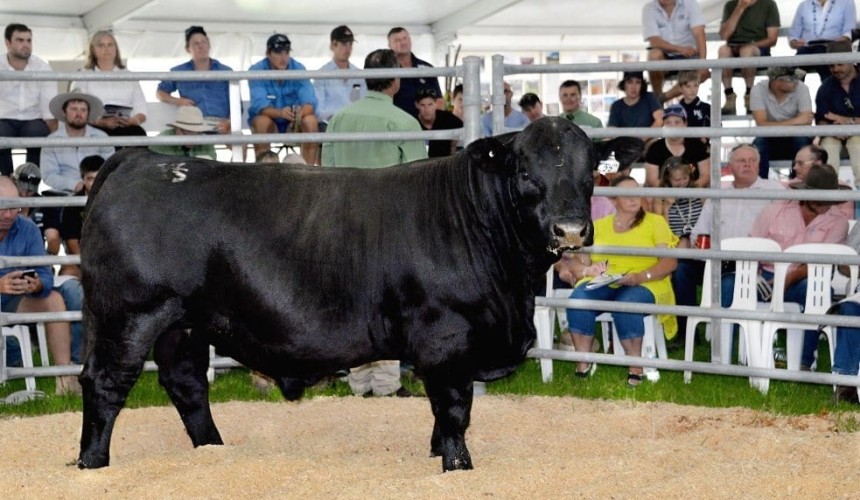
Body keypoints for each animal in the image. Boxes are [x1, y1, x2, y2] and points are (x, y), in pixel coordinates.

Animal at [76, 117, 635, 471]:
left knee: (187, 384)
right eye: (524, 171)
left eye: (591, 170)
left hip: (184, 322)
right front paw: (458, 467)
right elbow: (454, 409)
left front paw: (437, 455)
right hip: (131, 315)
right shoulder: (445, 336)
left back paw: (214, 451)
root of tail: (140, 160)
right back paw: (92, 464)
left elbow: (443, 414)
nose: (569, 229)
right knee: (105, 384)